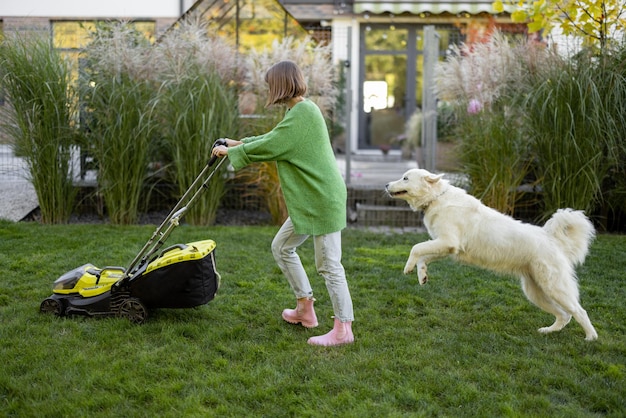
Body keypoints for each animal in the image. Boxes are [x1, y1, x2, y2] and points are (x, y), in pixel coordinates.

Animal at [382, 168, 596, 342]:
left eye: (405, 178)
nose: (385, 185)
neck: (437, 198)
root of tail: (552, 238)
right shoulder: (446, 247)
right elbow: (423, 256)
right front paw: (422, 275)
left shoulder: (448, 242)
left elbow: (415, 248)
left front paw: (408, 267)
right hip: (536, 292)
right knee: (564, 315)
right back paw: (548, 331)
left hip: (555, 288)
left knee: (579, 311)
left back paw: (591, 338)